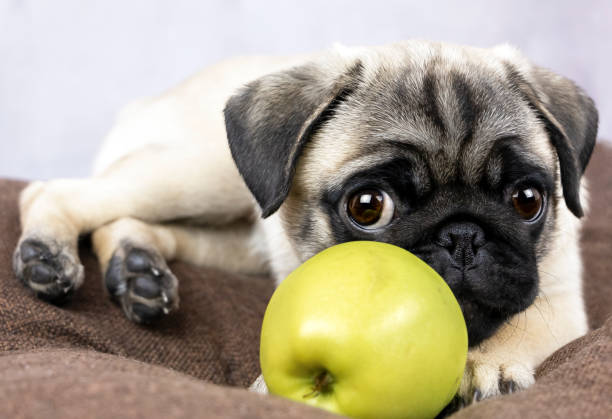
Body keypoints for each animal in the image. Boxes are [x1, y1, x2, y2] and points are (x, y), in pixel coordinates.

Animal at [13, 40, 596, 406]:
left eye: (527, 200)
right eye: (368, 207)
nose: (462, 236)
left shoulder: (559, 300)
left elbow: (521, 322)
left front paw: (487, 363)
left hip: (231, 234)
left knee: (141, 224)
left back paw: (138, 271)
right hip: (201, 172)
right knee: (58, 192)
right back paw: (47, 254)